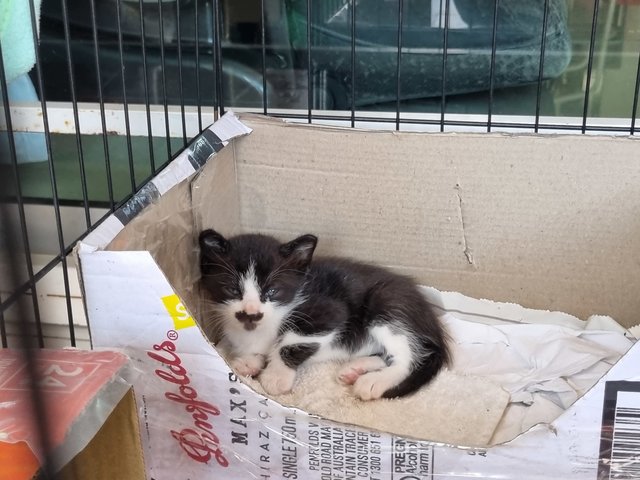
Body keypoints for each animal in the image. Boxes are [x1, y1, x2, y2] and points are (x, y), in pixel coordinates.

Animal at [200, 229, 450, 402]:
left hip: (387, 304)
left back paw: (374, 381)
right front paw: (249, 361)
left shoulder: (329, 310)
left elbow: (289, 341)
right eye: (232, 290)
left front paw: (276, 376)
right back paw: (355, 369)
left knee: (410, 356)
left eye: (272, 291)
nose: (251, 314)